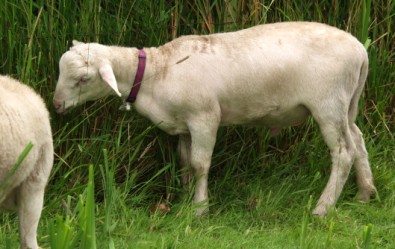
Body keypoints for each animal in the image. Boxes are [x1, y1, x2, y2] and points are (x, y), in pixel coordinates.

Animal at [53, 21, 378, 216]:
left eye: (83, 79)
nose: (56, 105)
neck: (156, 72)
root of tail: (361, 51)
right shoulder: (184, 124)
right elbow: (184, 162)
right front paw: (184, 199)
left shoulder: (204, 117)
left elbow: (200, 164)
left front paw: (199, 209)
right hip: (346, 104)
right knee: (359, 141)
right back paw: (365, 193)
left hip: (328, 104)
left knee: (343, 152)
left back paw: (323, 207)